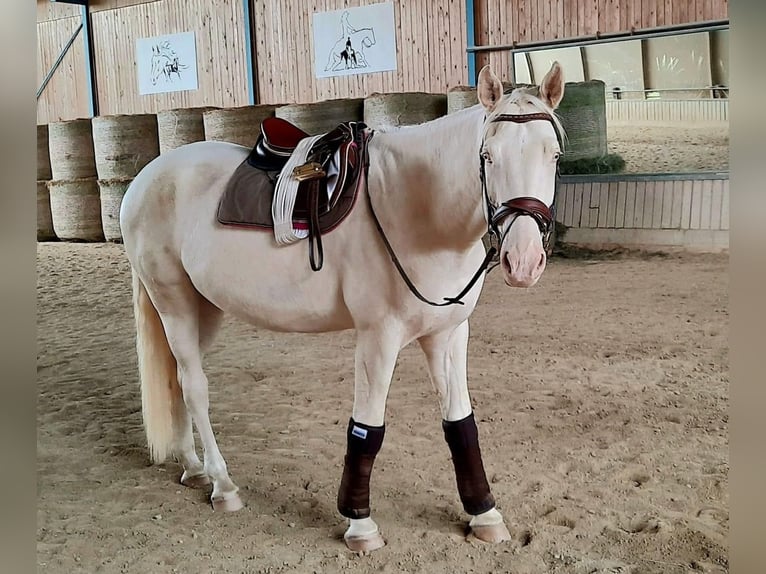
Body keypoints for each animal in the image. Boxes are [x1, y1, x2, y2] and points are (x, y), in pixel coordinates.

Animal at [119, 62, 565, 552]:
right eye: (487, 156)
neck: (414, 207)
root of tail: (146, 178)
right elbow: (367, 428)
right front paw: (359, 524)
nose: (523, 261)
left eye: (555, 156)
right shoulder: (378, 337)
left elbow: (461, 424)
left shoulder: (448, 335)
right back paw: (222, 484)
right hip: (173, 301)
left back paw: (194, 468)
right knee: (194, 386)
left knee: (176, 379)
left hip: (205, 308)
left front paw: (484, 514)